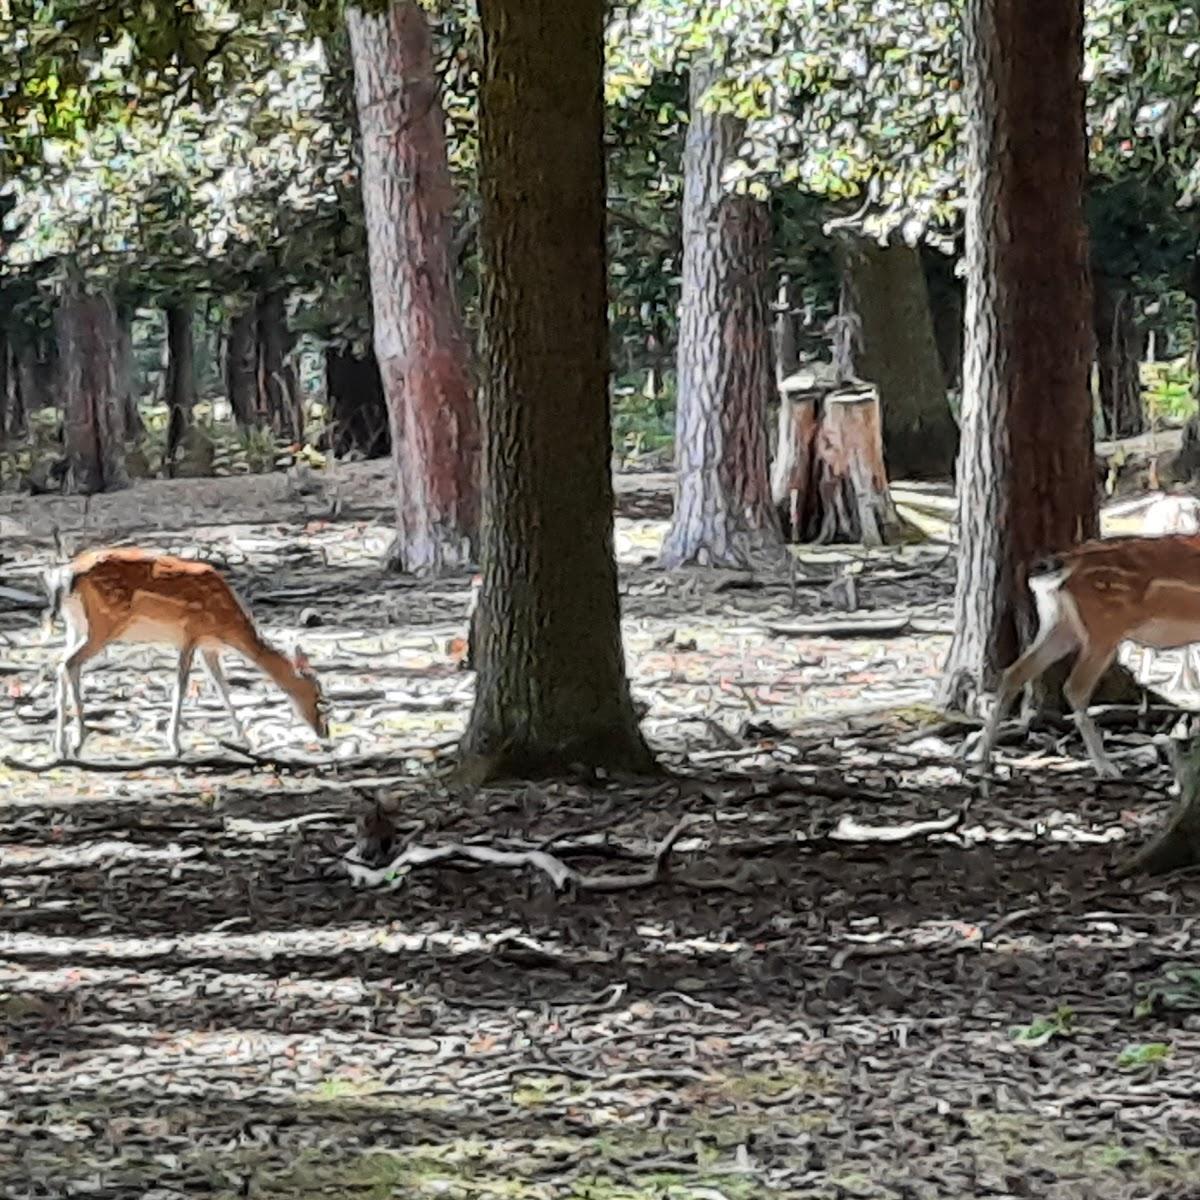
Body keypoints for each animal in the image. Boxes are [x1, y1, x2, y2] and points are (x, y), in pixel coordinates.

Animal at [43, 547, 328, 753]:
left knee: (61, 664)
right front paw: (175, 744)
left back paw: (60, 745)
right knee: (69, 663)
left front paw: (247, 741)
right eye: (317, 695)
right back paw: (78, 739)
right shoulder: (190, 634)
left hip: (75, 625)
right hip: (105, 623)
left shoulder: (207, 647)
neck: (228, 625)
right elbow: (181, 687)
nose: (324, 731)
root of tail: (64, 577)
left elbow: (223, 689)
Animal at [979, 537, 1200, 782]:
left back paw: (981, 759)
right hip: (1103, 628)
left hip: (1059, 624)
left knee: (1015, 673)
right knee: (1075, 686)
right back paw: (1106, 768)